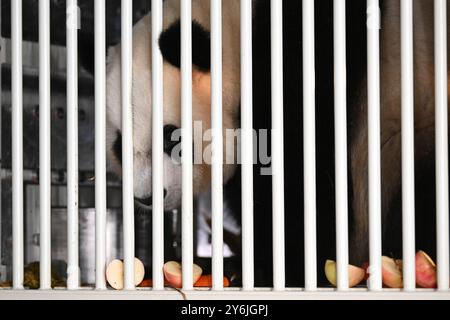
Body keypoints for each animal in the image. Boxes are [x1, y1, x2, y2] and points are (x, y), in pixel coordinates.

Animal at [105, 0, 446, 284]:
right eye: (119, 146)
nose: (148, 196)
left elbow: (301, 181)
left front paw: (269, 268)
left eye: (170, 136)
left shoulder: (301, 66)